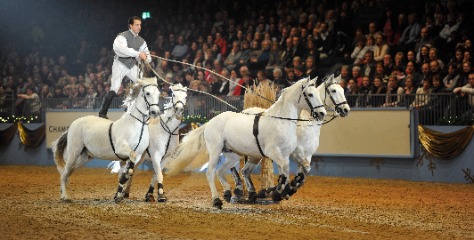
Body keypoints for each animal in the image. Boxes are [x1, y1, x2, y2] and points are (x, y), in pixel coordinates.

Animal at [163, 77, 326, 208]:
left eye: (318, 94)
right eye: (310, 94)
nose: (322, 114)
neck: (281, 121)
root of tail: (210, 122)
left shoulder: (290, 154)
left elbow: (300, 170)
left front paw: (283, 191)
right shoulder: (274, 153)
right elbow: (285, 171)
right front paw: (278, 193)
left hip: (233, 155)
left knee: (221, 171)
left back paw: (229, 193)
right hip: (216, 150)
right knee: (210, 172)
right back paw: (217, 200)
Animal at [220, 74, 350, 202]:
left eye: (343, 90)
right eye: (333, 91)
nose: (346, 110)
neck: (306, 124)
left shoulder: (306, 155)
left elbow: (303, 174)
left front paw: (284, 191)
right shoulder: (295, 153)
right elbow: (293, 172)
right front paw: (280, 191)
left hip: (254, 154)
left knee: (244, 170)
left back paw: (252, 194)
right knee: (233, 167)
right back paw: (238, 191)